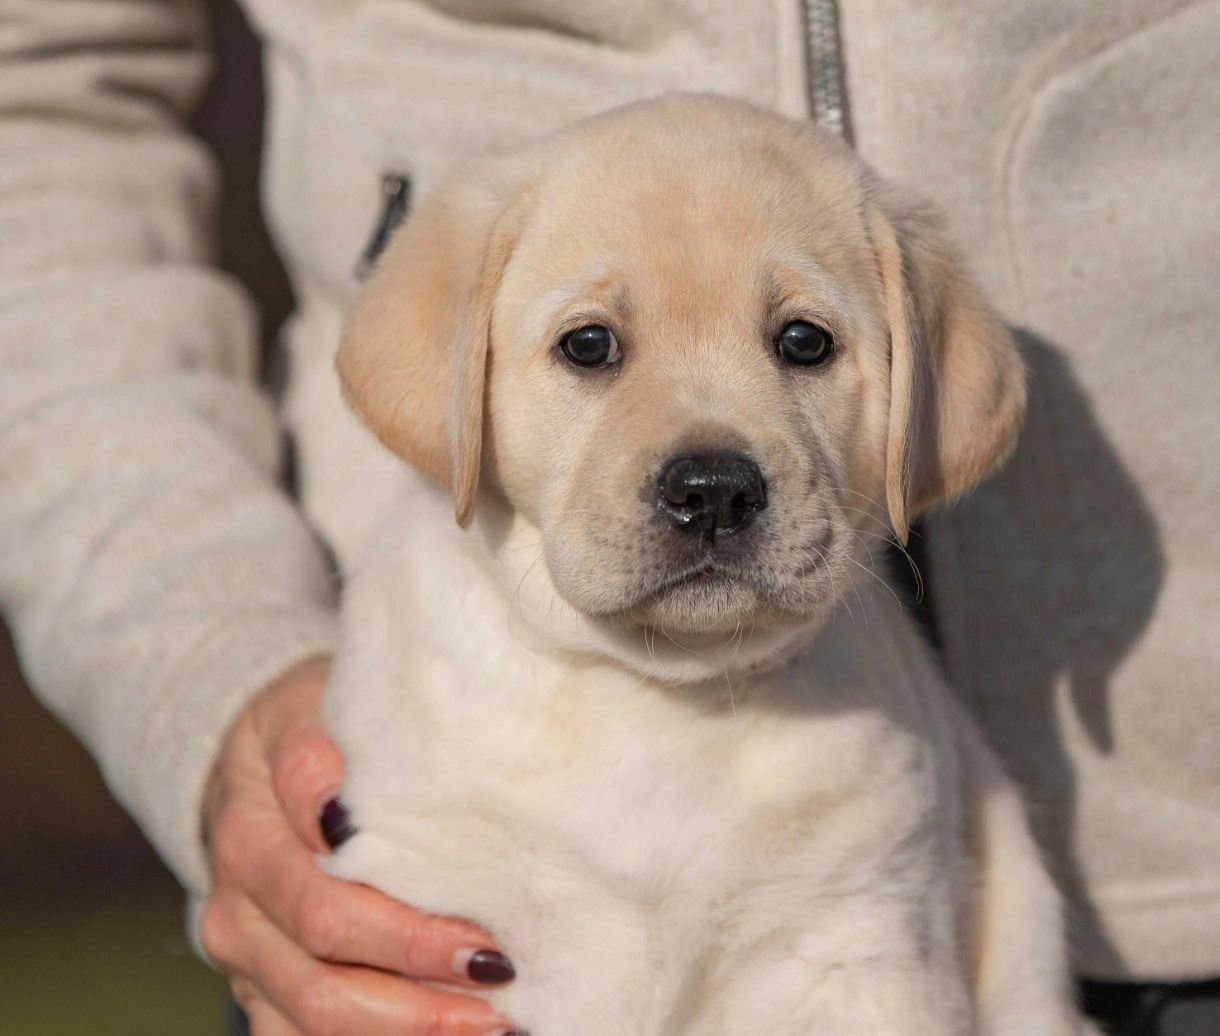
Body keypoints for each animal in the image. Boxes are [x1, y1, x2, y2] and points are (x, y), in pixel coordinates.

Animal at [319, 92, 1093, 1029]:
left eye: (803, 341)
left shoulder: (863, 942)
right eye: (588, 345)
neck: (657, 697)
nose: (714, 491)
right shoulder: (436, 889)